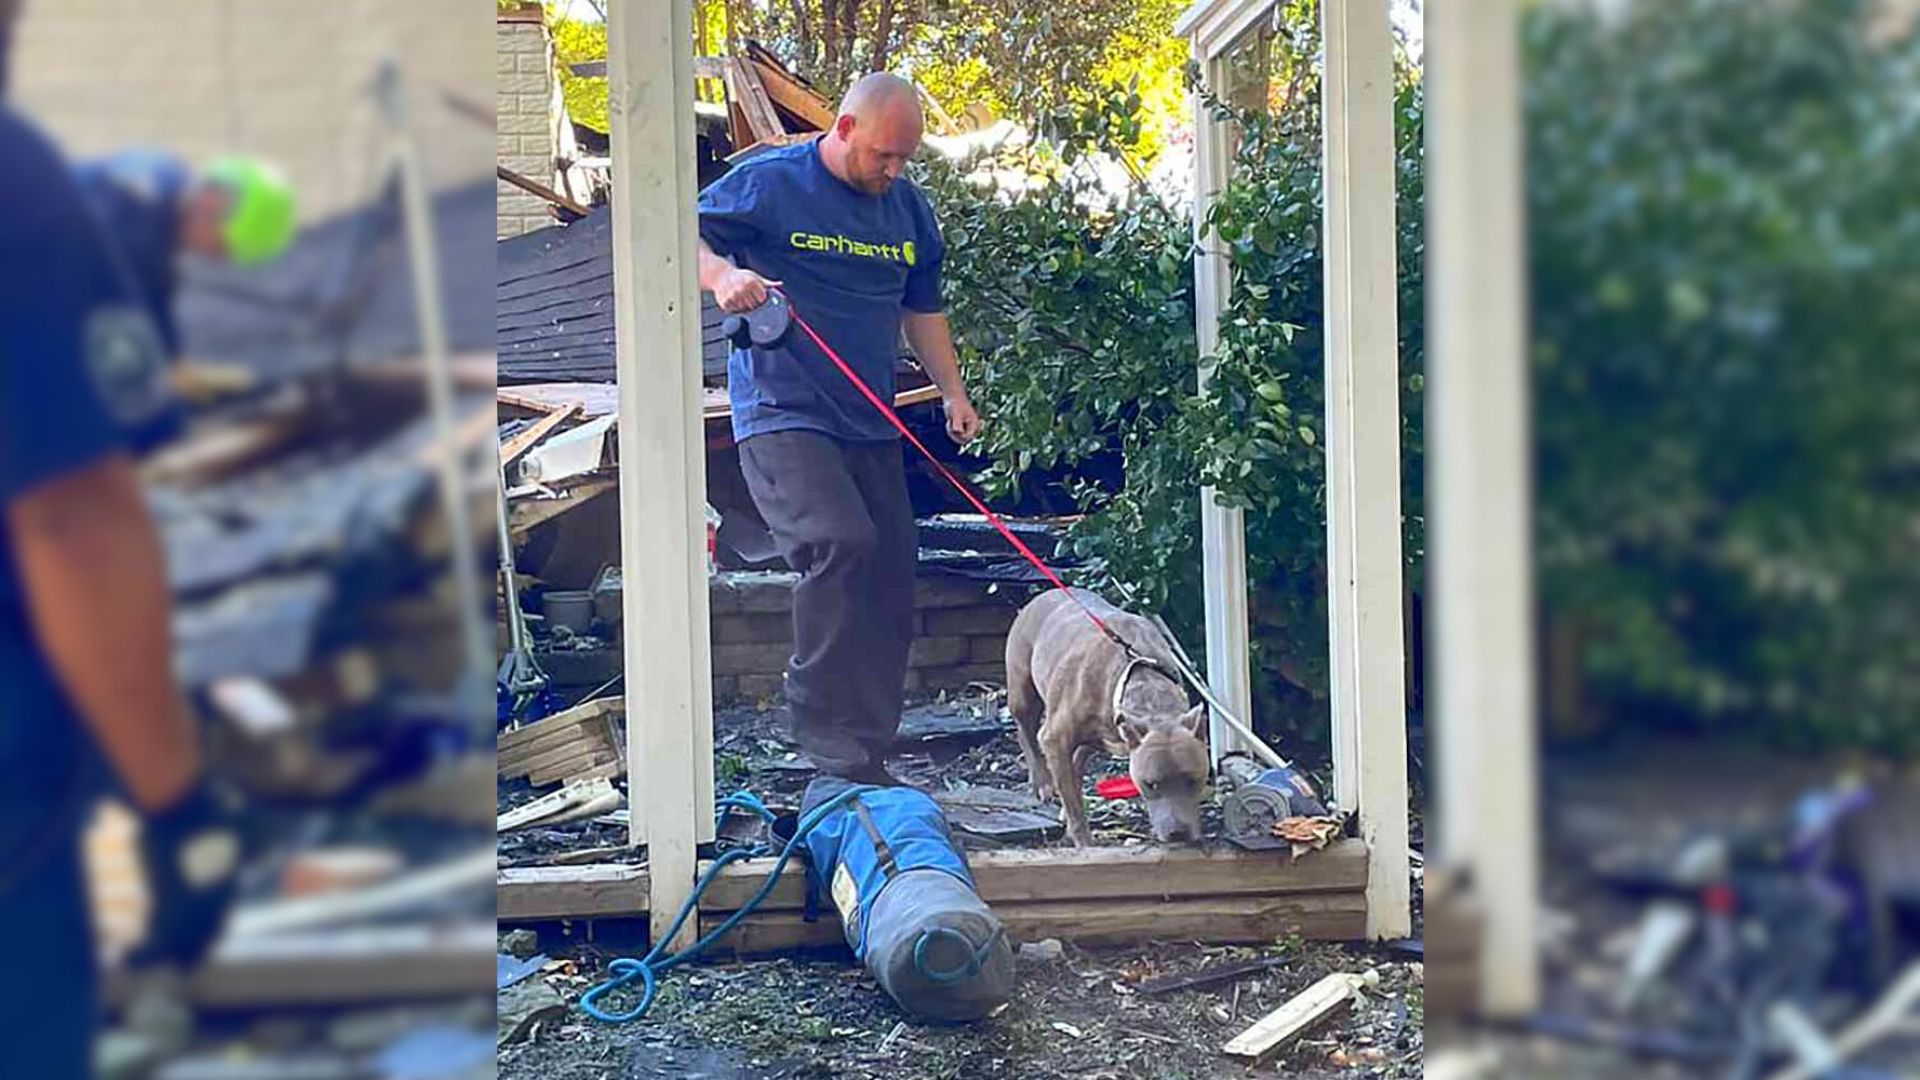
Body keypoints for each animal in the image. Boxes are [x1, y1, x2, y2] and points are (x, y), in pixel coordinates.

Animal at [1013, 584, 1205, 845]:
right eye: (1150, 784)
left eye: (1195, 780)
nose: (1179, 834)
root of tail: (1041, 596)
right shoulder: (1054, 738)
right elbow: (1074, 807)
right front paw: (1083, 842)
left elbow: (1073, 780)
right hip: (1022, 691)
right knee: (1026, 731)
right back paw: (1043, 782)